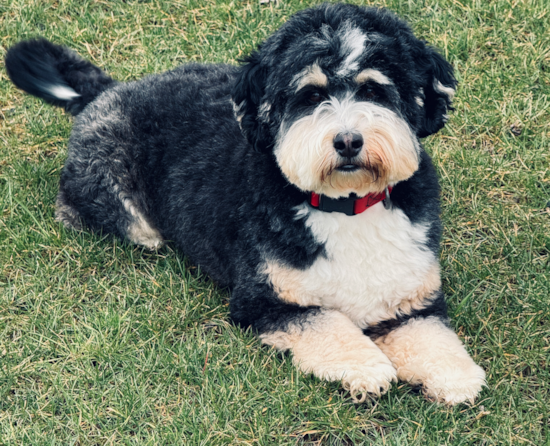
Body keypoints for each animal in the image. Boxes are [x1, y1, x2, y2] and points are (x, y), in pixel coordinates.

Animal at [5, 2, 488, 404]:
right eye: (311, 95)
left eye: (374, 90)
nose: (348, 141)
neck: (345, 204)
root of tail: (107, 92)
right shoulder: (263, 299)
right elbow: (329, 323)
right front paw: (366, 365)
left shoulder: (413, 298)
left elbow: (431, 333)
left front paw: (455, 375)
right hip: (107, 187)